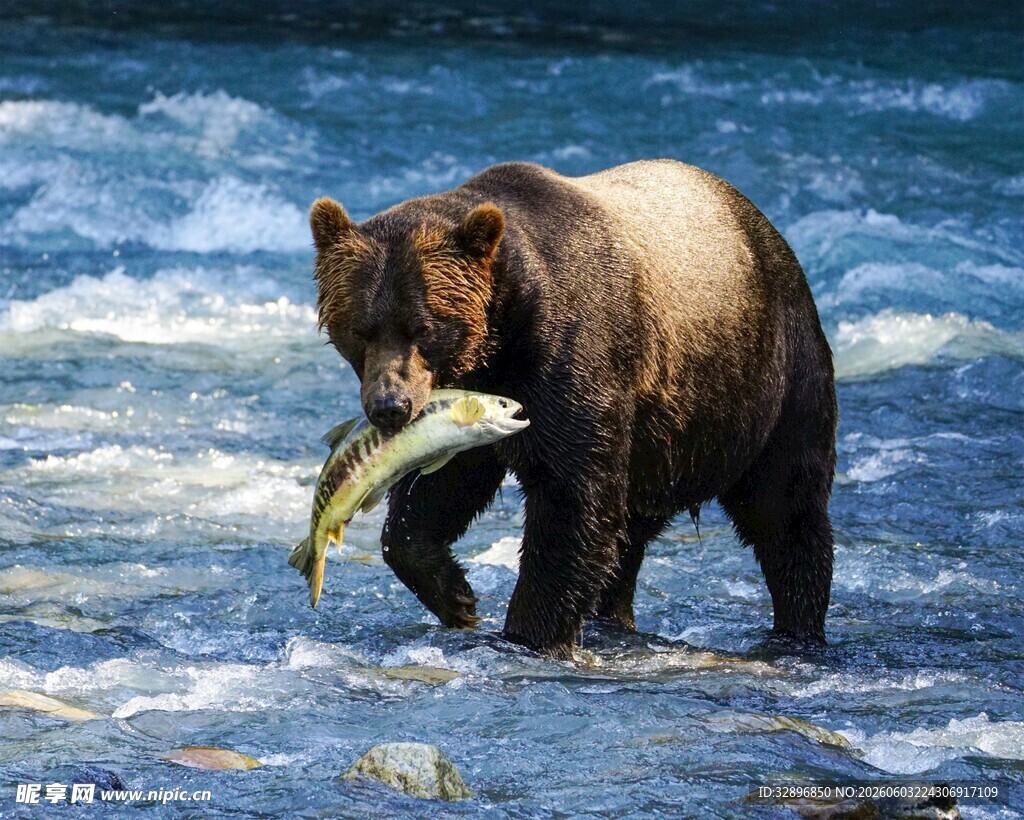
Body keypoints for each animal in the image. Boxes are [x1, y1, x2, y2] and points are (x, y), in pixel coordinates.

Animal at [309, 160, 837, 659]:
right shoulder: (476, 406)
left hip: (768, 378)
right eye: (360, 328)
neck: (500, 340)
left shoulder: (572, 360)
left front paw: (528, 634)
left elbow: (572, 500)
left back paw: (797, 628)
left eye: (424, 327)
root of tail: (766, 228)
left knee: (786, 509)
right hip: (661, 443)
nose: (390, 406)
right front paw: (456, 596)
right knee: (630, 534)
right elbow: (440, 491)